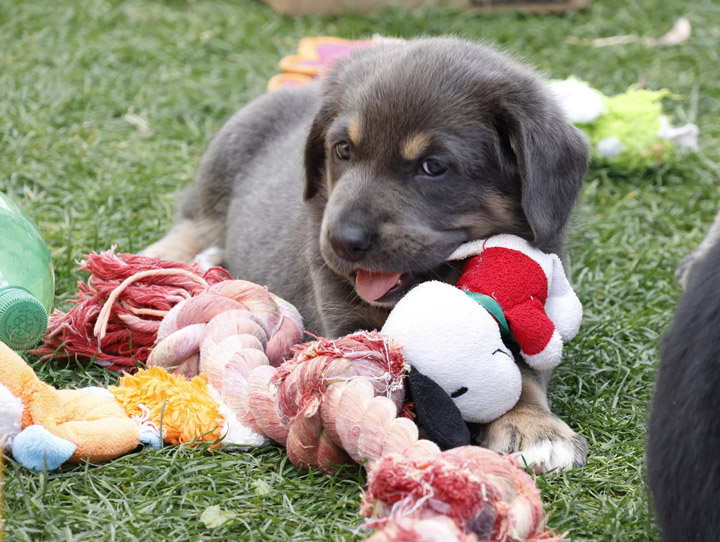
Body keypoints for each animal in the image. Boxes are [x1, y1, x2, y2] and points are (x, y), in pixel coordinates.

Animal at [146, 36, 592, 474]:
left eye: (433, 167)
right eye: (343, 149)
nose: (342, 240)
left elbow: (524, 373)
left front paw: (535, 427)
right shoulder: (343, 318)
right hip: (222, 162)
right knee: (193, 220)